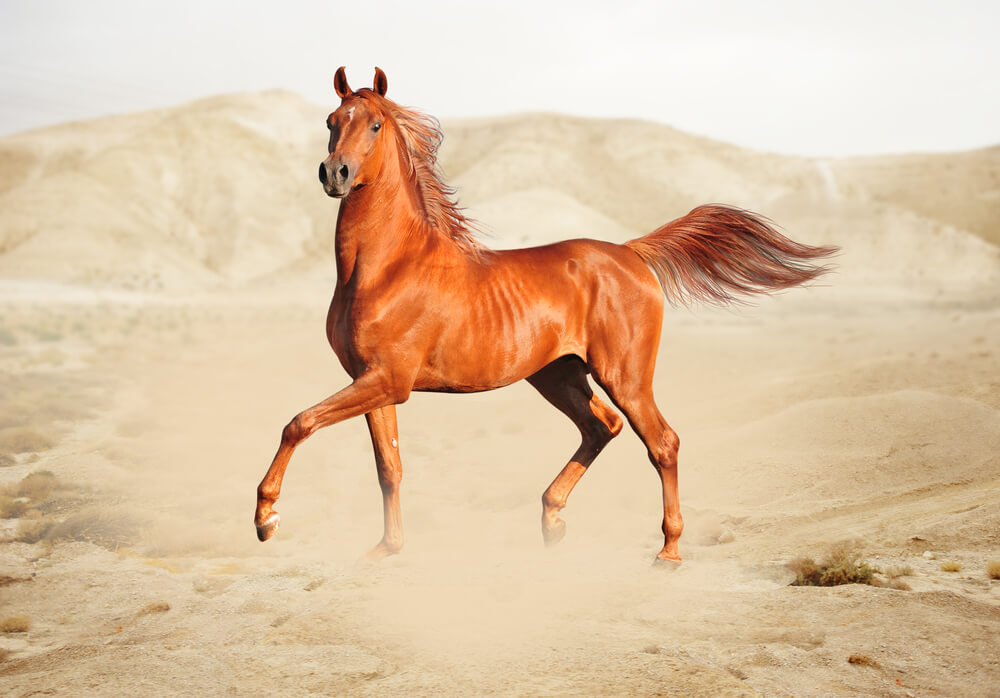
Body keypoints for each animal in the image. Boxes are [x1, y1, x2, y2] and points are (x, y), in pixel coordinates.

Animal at [254, 68, 840, 564]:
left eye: (374, 124)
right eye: (332, 122)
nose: (335, 173)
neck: (387, 268)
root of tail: (631, 253)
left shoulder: (387, 381)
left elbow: (298, 423)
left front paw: (266, 518)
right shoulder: (373, 381)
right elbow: (388, 468)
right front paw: (385, 549)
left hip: (623, 375)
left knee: (662, 442)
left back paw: (669, 551)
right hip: (557, 374)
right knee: (602, 427)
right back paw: (552, 521)